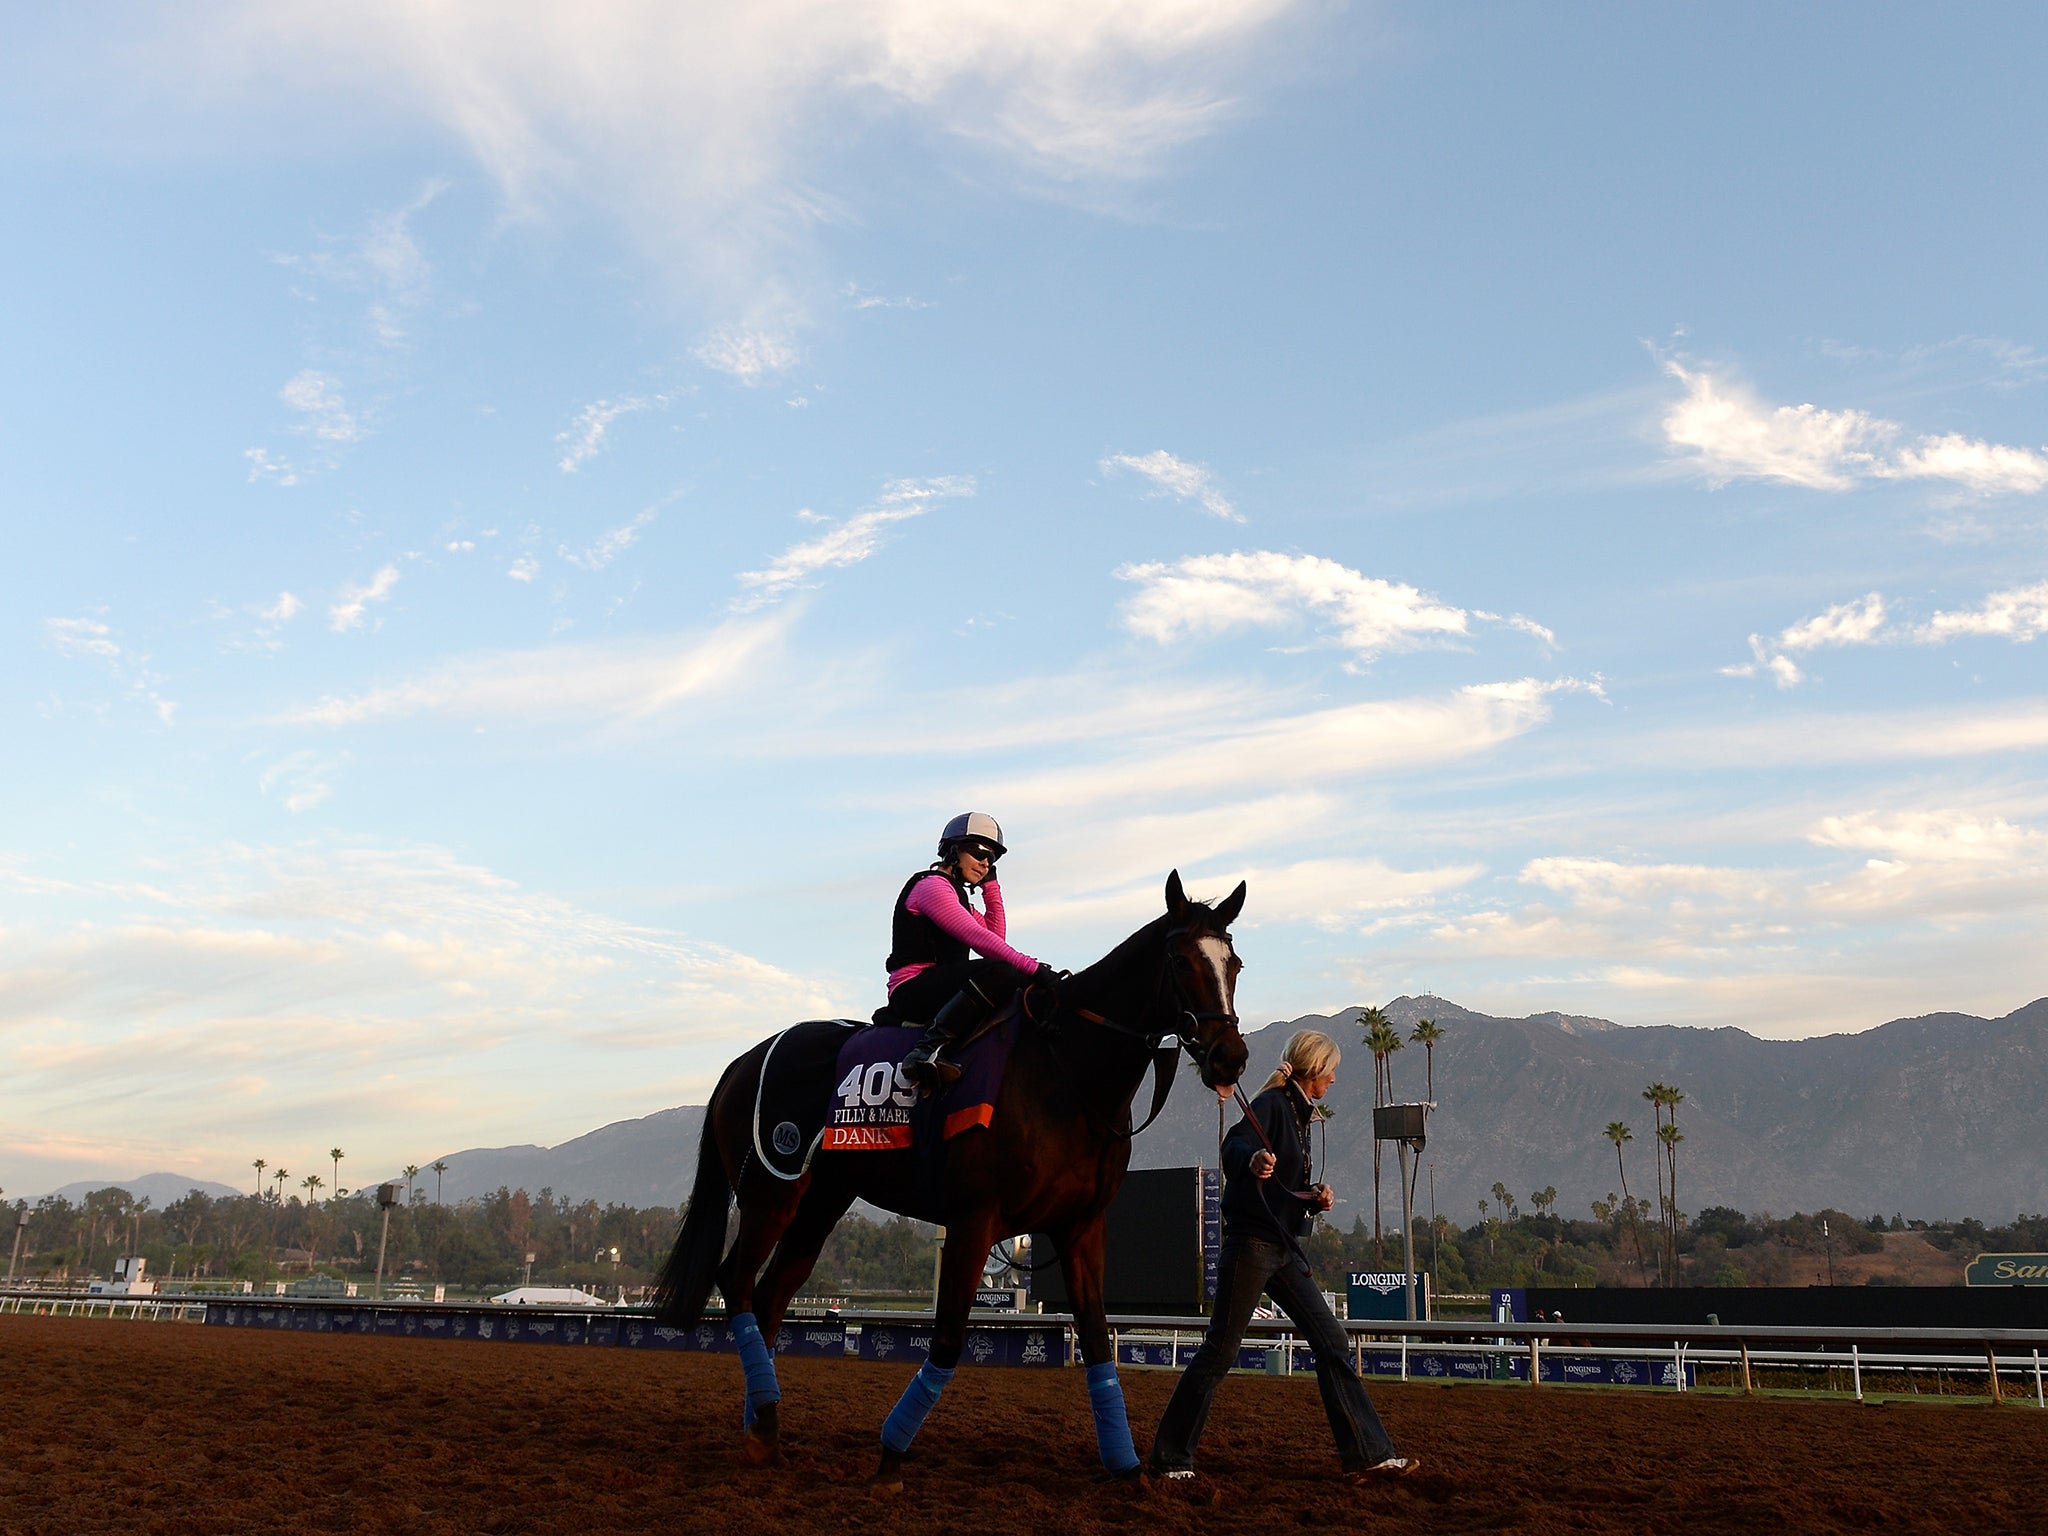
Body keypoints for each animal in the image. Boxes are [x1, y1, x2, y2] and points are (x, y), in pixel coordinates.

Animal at [655, 876, 1253, 1490]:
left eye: (1233, 964)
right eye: (1180, 962)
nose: (1229, 1057)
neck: (1065, 1071)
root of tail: (743, 1060)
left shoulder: (1080, 1226)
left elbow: (1094, 1339)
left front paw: (1128, 1466)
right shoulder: (975, 1219)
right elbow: (945, 1341)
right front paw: (891, 1456)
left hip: (821, 1201)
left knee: (771, 1295)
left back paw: (764, 1426)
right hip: (774, 1187)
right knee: (737, 1280)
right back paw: (764, 1418)